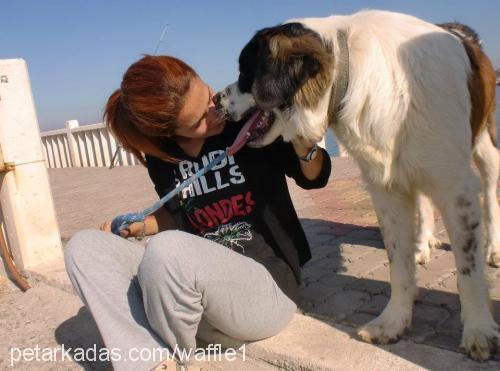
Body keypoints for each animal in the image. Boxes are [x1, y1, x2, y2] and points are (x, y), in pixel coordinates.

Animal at [217, 10, 500, 362]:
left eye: (245, 72)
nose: (215, 100)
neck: (350, 69)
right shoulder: (386, 189)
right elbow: (398, 262)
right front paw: (394, 320)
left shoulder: (455, 188)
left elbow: (468, 268)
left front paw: (478, 329)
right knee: (422, 200)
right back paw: (422, 245)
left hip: (484, 145)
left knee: (490, 190)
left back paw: (493, 249)